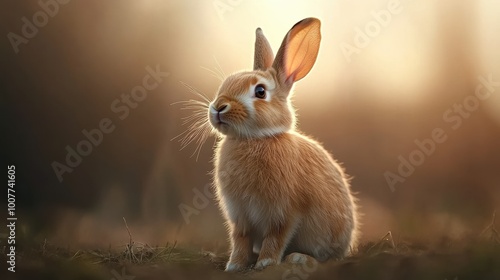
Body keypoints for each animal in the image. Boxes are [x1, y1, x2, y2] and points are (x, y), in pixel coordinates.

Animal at [207, 17, 360, 272]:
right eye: (225, 83)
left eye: (260, 91)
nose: (219, 107)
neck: (255, 139)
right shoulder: (240, 217)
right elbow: (240, 240)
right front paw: (234, 266)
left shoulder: (285, 213)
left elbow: (276, 237)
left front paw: (265, 263)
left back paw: (299, 259)